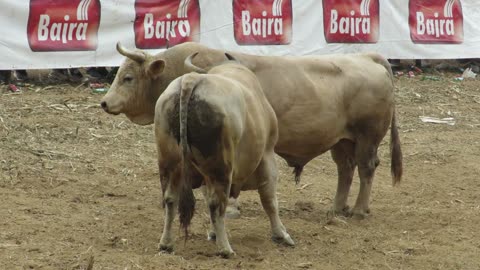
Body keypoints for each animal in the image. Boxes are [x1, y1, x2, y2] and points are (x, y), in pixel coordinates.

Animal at [101, 41, 402, 219]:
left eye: (128, 78)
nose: (105, 102)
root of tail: (369, 57)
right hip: (342, 141)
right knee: (346, 169)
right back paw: (338, 207)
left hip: (367, 138)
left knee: (366, 168)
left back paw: (360, 210)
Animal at [156, 53, 294, 258]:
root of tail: (191, 79)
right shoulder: (267, 157)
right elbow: (269, 200)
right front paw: (281, 234)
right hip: (220, 168)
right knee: (216, 203)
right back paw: (225, 248)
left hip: (170, 163)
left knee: (171, 199)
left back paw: (166, 243)